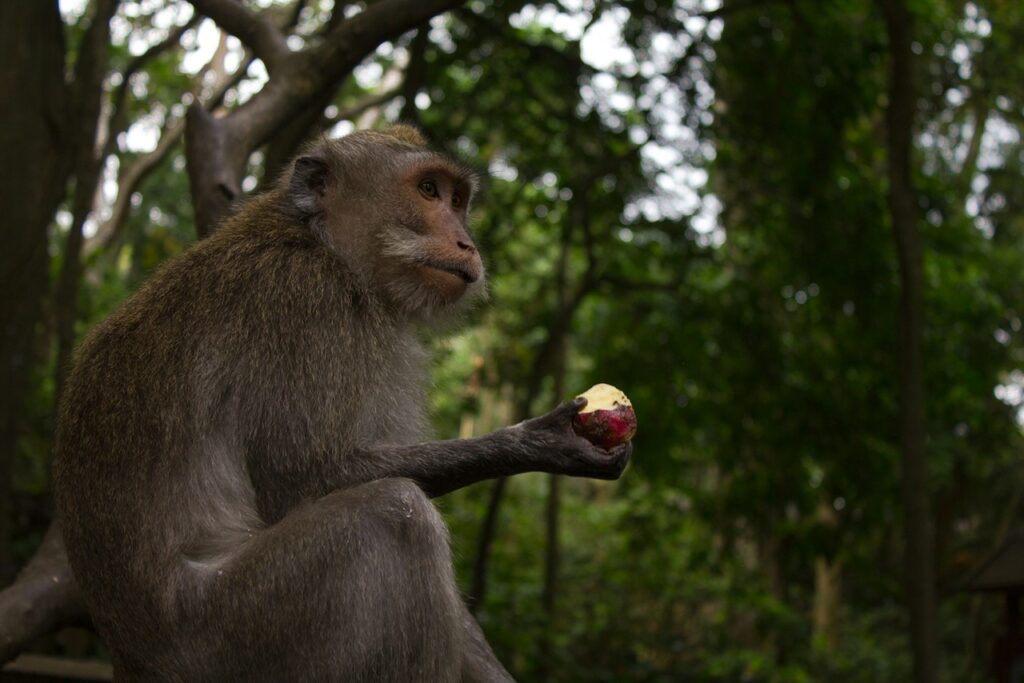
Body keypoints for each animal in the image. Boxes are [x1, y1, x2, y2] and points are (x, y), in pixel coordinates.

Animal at [53, 125, 631, 682]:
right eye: (428, 190)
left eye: (458, 199)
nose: (467, 243)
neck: (323, 246)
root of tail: (131, 658)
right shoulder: (305, 304)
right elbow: (302, 478)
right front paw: (534, 441)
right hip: (233, 633)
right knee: (393, 515)